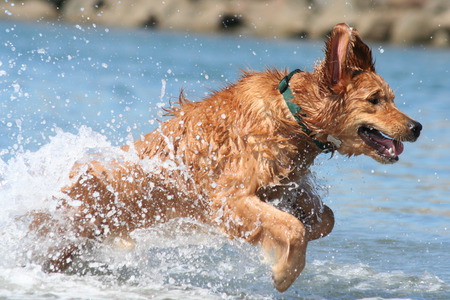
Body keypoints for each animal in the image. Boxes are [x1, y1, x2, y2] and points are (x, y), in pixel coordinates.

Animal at [31, 24, 422, 292]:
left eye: (392, 98)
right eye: (374, 100)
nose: (417, 127)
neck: (291, 114)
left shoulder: (287, 186)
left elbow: (324, 219)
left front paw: (298, 242)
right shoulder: (230, 196)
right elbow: (292, 228)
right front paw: (284, 272)